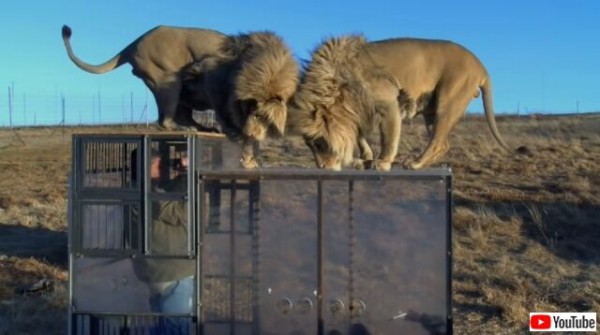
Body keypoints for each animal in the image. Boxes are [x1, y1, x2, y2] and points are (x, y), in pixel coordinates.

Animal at [61, 24, 226, 132]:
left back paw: (201, 128)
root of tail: (134, 43)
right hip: (168, 78)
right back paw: (185, 128)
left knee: (175, 116)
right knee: (165, 121)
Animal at [178, 31, 300, 168]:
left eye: (261, 117)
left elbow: (252, 141)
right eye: (253, 113)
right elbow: (225, 116)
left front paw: (250, 159)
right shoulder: (214, 81)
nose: (250, 133)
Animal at [290, 34, 520, 171]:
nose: (322, 168)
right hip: (432, 111)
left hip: (448, 101)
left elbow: (388, 138)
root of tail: (481, 66)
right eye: (310, 145)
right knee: (443, 143)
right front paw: (364, 159)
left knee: (438, 141)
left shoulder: (389, 101)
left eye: (319, 144)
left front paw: (382, 162)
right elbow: (358, 136)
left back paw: (415, 163)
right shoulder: (358, 111)